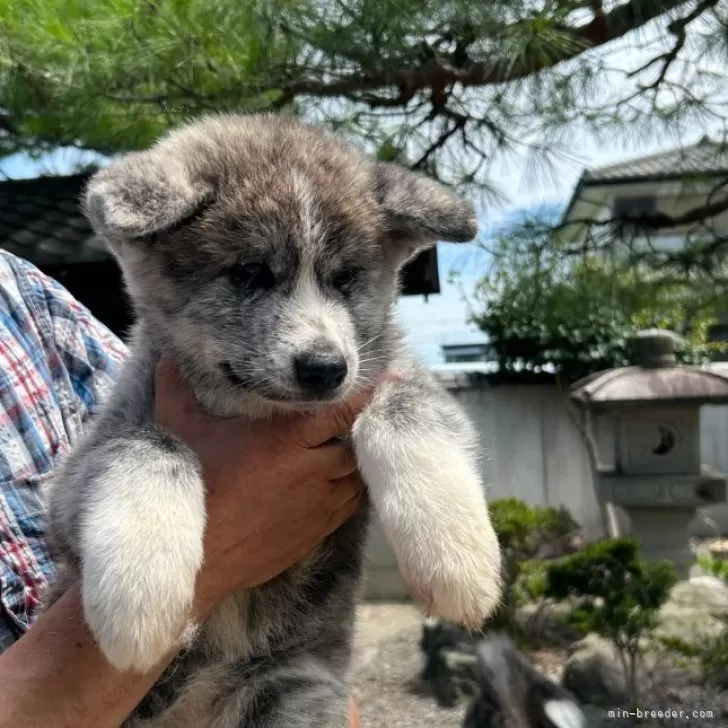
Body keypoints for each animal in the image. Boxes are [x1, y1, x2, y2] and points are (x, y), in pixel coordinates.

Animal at [44, 115, 500, 728]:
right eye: (249, 273)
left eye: (345, 277)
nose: (325, 368)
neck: (258, 415)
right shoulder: (77, 470)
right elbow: (151, 445)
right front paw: (139, 597)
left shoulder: (396, 377)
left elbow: (404, 409)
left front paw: (455, 561)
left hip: (292, 691)